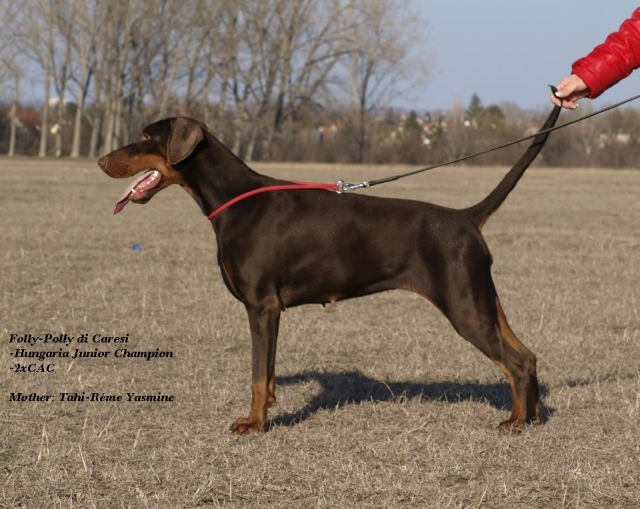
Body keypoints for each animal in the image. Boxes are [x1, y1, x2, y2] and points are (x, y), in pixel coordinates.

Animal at [98, 105, 560, 434]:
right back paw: (533, 417)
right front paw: (266, 414)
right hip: (484, 300)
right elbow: (267, 375)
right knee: (527, 356)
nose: (101, 160)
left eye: (145, 136)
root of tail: (467, 217)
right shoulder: (269, 311)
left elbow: (257, 375)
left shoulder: (261, 306)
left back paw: (516, 423)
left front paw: (254, 424)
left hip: (466, 308)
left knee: (515, 364)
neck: (234, 198)